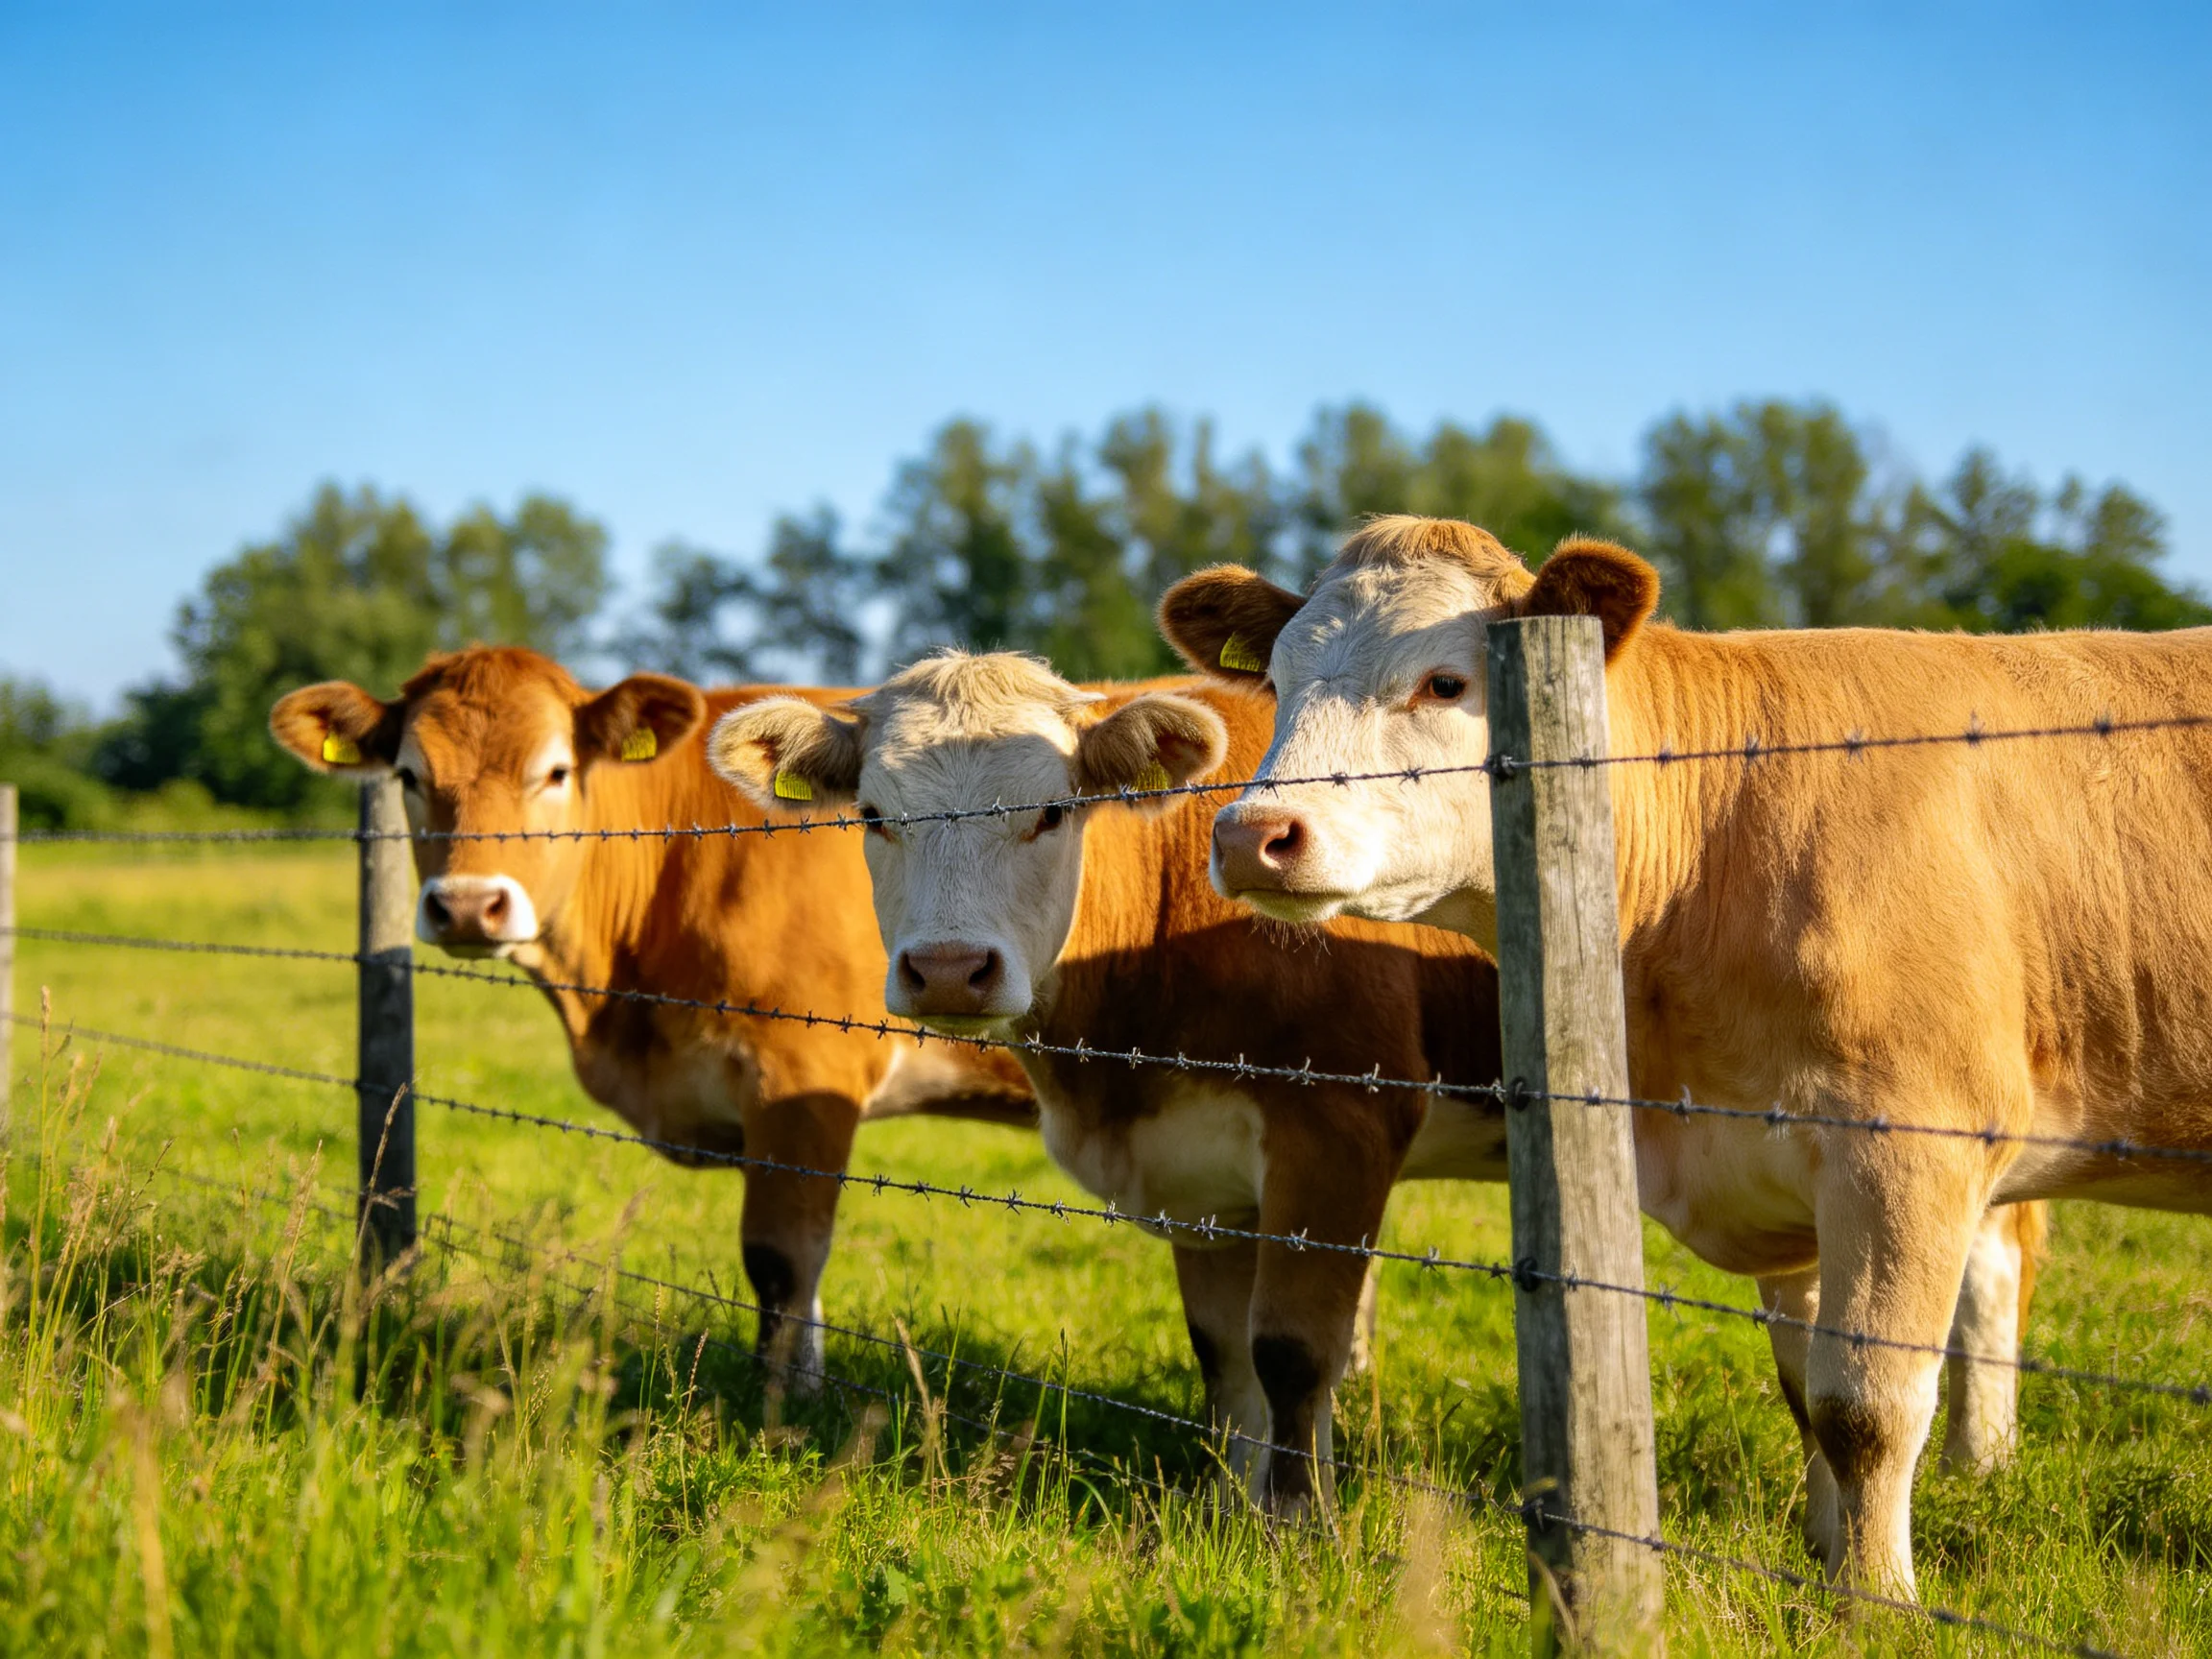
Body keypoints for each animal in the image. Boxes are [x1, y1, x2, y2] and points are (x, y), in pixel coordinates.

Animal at [268, 646, 1035, 1385]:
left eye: (556, 771)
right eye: (407, 775)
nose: (464, 904)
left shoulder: (803, 1078)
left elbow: (783, 1266)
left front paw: (782, 1410)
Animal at [1157, 513, 2195, 1596]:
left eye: (1445, 682)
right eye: (1278, 680)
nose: (1251, 833)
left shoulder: (1906, 1150)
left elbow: (1865, 1407)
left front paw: (1873, 1600)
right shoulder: (1784, 1168)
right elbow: (1808, 1393)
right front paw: (1825, 1560)